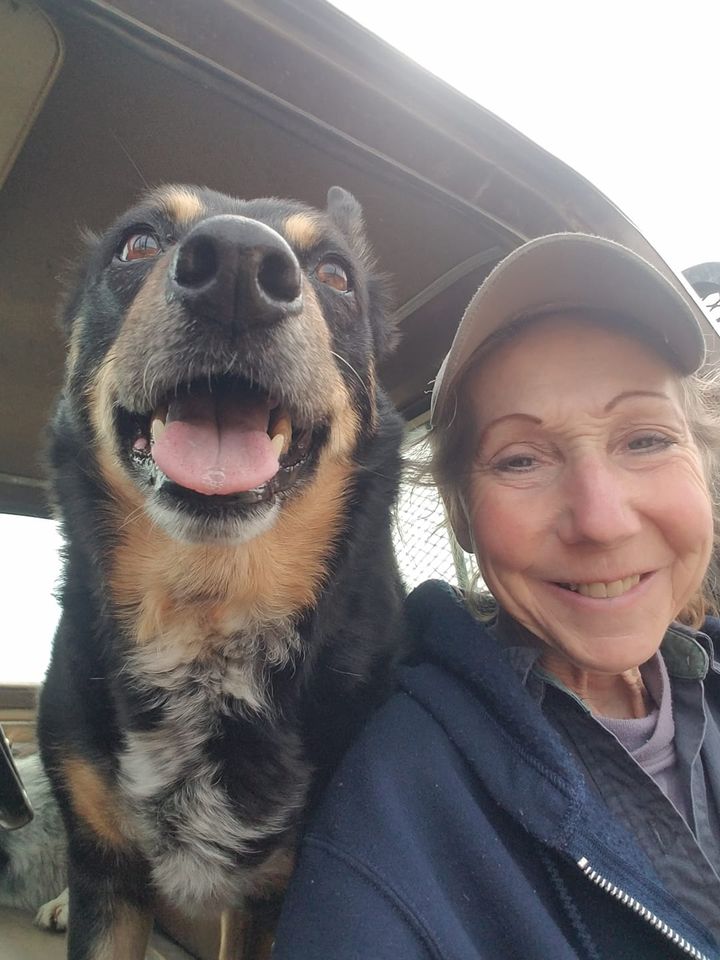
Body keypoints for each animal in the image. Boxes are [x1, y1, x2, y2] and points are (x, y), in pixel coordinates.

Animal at [36, 184, 404, 956]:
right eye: (138, 242)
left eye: (336, 274)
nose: (238, 265)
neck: (206, 607)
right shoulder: (106, 868)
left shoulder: (273, 895)